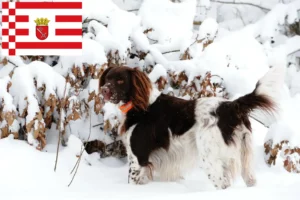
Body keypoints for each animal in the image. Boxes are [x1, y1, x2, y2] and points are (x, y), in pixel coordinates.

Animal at [99, 65, 284, 189]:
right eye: (108, 78)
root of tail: (231, 106)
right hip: (245, 157)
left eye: (120, 80)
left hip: (209, 158)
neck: (140, 106)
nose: (104, 90)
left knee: (223, 184)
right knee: (250, 180)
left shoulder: (138, 158)